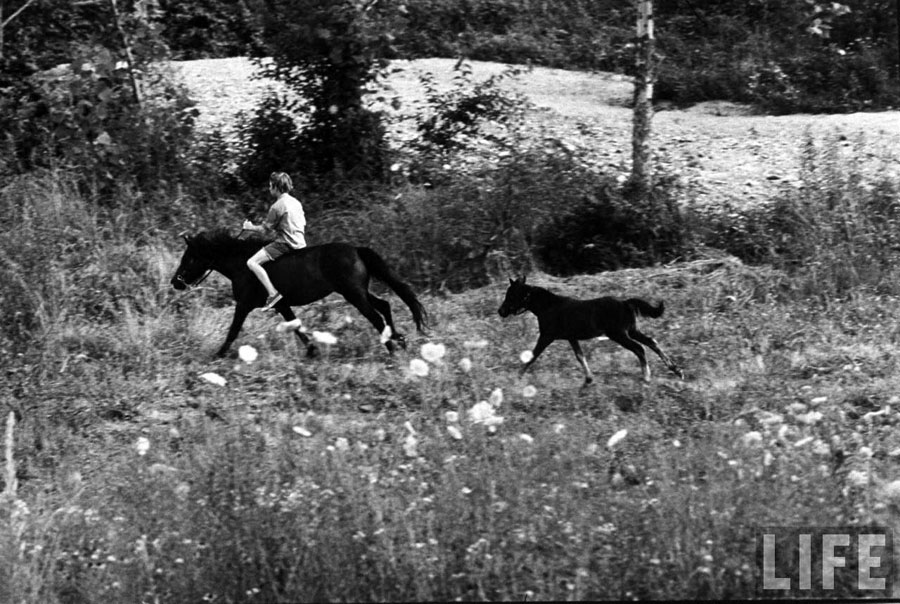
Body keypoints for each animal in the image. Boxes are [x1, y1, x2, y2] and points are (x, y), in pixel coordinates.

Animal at [175, 229, 428, 356]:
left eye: (189, 258)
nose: (174, 282)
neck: (241, 264)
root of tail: (356, 250)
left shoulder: (244, 305)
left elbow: (233, 330)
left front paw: (218, 354)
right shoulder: (281, 305)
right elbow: (296, 326)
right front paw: (312, 350)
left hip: (354, 294)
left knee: (376, 317)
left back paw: (391, 350)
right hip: (359, 292)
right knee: (384, 305)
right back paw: (399, 339)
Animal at [500, 276, 684, 384]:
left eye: (511, 294)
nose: (500, 311)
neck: (548, 307)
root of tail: (625, 302)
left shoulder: (547, 336)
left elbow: (532, 356)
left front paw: (517, 378)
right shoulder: (571, 337)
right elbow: (580, 356)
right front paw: (588, 379)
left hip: (619, 334)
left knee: (639, 348)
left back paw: (646, 377)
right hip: (631, 331)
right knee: (652, 342)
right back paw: (677, 370)